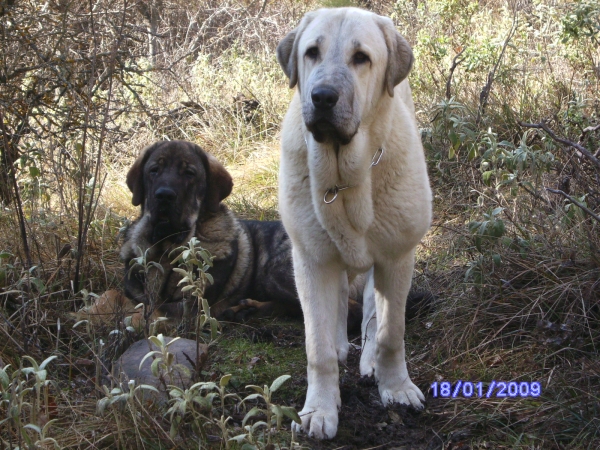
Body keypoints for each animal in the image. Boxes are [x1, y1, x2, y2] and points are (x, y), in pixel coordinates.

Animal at [276, 5, 432, 438]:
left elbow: (391, 332)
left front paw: (395, 386)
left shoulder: (397, 257)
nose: (322, 97)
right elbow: (317, 348)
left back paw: (369, 360)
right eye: (311, 52)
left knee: (373, 312)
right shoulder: (312, 260)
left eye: (361, 57)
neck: (346, 178)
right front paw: (319, 409)